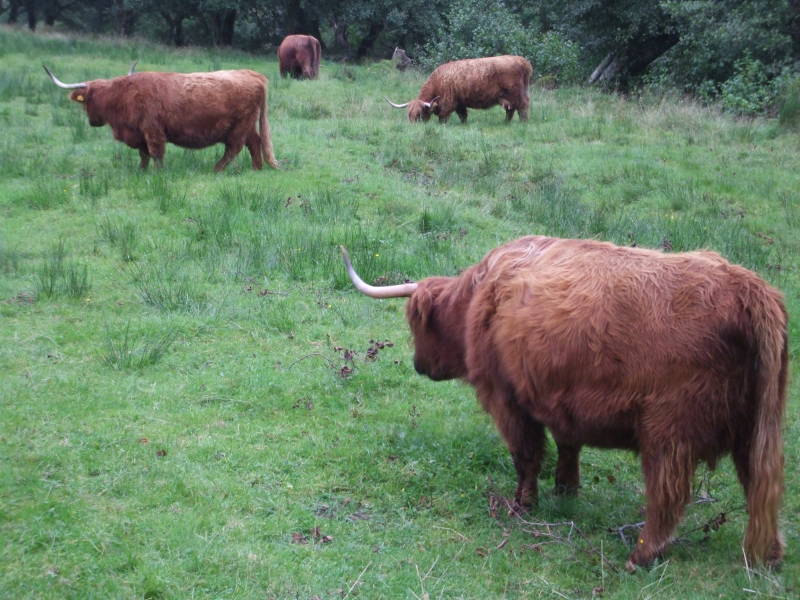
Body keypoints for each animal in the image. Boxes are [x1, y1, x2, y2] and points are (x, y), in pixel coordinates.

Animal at [46, 63, 282, 171]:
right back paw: (256, 168)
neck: (122, 97)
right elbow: (143, 155)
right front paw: (141, 171)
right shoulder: (139, 134)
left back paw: (216, 169)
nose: (93, 122)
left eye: (87, 101)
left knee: (234, 148)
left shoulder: (152, 131)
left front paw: (159, 173)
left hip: (239, 126)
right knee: (254, 142)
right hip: (247, 125)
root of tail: (252, 74)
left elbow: (156, 153)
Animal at [340, 236, 784, 572]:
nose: (420, 365)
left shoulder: (507, 398)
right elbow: (568, 447)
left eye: (417, 325)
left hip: (669, 432)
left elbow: (526, 455)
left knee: (668, 494)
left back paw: (640, 556)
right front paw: (566, 490)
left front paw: (523, 504)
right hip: (758, 432)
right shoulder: (563, 400)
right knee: (763, 489)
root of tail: (750, 290)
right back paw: (769, 557)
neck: (482, 296)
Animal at [386, 54, 532, 123]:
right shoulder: (460, 103)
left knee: (522, 107)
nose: (413, 127)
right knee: (510, 110)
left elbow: (443, 118)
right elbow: (463, 116)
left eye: (419, 114)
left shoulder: (447, 103)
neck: (437, 82)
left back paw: (523, 122)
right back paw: (505, 122)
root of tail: (522, 61)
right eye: (409, 114)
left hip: (516, 94)